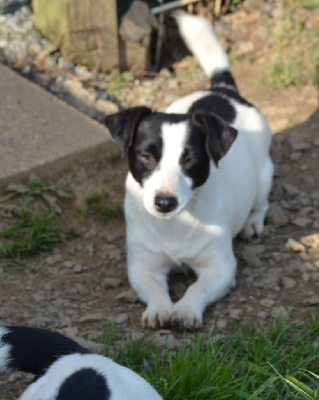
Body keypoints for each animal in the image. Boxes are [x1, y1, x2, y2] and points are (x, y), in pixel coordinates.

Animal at [105, 13, 276, 332]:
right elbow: (155, 289)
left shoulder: (220, 266)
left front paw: (184, 310)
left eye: (191, 159)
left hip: (264, 177)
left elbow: (198, 287)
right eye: (146, 156)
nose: (164, 202)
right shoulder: (143, 266)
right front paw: (160, 309)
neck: (176, 224)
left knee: (262, 203)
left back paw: (252, 224)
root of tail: (223, 91)